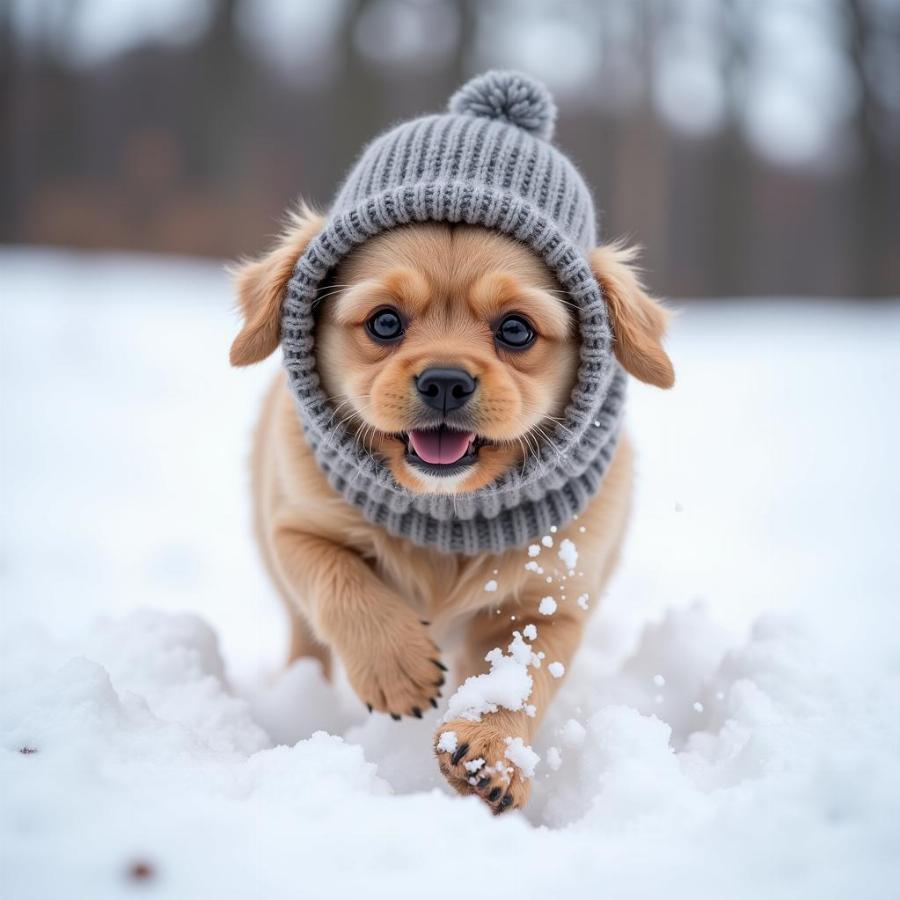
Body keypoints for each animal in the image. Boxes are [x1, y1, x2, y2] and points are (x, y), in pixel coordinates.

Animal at [229, 207, 672, 812]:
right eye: (384, 323)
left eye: (516, 330)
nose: (444, 381)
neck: (448, 512)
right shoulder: (296, 527)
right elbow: (340, 581)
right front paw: (397, 669)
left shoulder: (549, 599)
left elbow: (522, 673)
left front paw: (492, 752)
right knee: (306, 636)